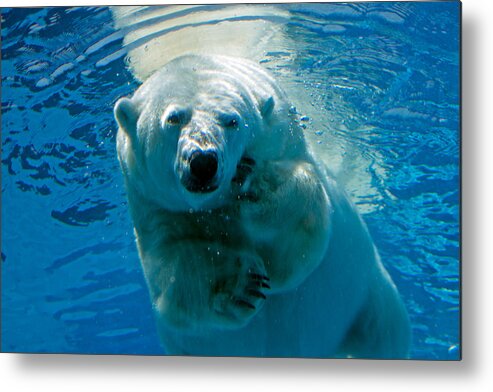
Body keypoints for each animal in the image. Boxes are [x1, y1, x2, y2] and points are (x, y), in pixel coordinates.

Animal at [113, 54, 410, 358]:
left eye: (232, 120)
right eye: (174, 117)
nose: (203, 161)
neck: (212, 207)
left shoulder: (289, 149)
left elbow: (302, 237)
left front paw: (251, 183)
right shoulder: (158, 210)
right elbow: (175, 279)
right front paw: (242, 285)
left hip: (365, 295)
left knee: (384, 333)